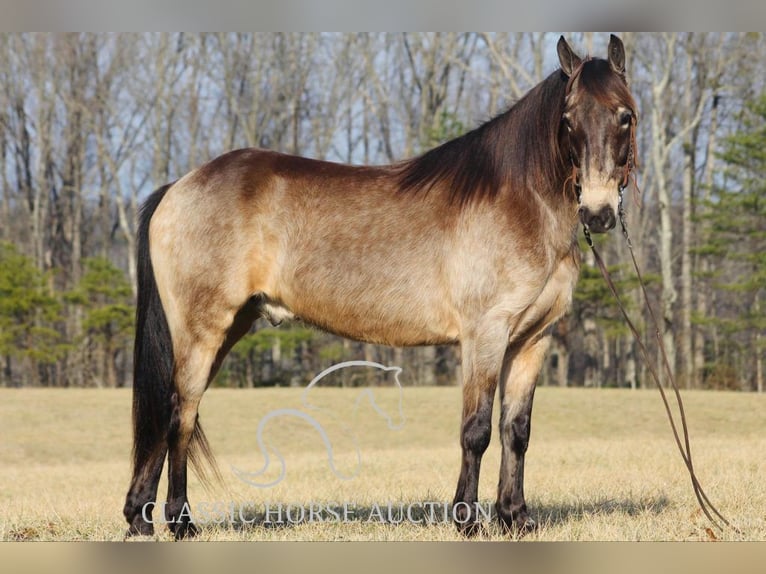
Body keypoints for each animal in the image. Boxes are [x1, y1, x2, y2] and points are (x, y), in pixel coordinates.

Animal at [124, 35, 640, 540]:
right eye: (568, 120)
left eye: (625, 116)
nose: (598, 212)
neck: (519, 200)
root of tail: (177, 187)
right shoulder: (485, 335)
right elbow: (475, 430)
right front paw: (468, 521)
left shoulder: (531, 340)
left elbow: (517, 430)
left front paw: (516, 518)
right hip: (202, 331)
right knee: (180, 416)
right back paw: (181, 524)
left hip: (228, 327)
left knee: (171, 417)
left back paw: (139, 518)